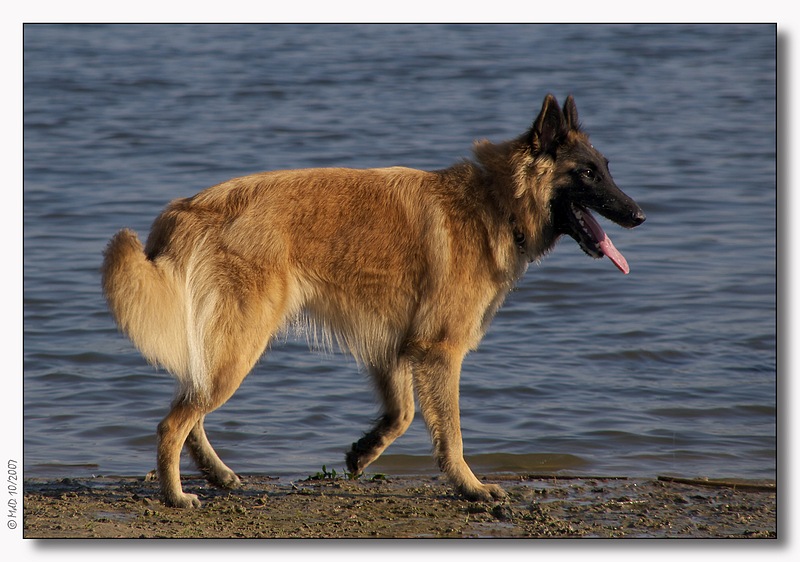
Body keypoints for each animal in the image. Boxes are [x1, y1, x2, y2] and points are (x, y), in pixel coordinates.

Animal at [103, 94, 648, 506]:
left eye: (606, 169)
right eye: (587, 174)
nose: (640, 215)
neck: (495, 203)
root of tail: (186, 210)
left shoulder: (394, 348)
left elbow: (403, 414)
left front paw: (363, 453)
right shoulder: (439, 352)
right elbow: (450, 432)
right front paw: (470, 487)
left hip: (220, 348)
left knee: (188, 405)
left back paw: (216, 474)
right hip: (239, 347)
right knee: (172, 423)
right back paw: (176, 495)